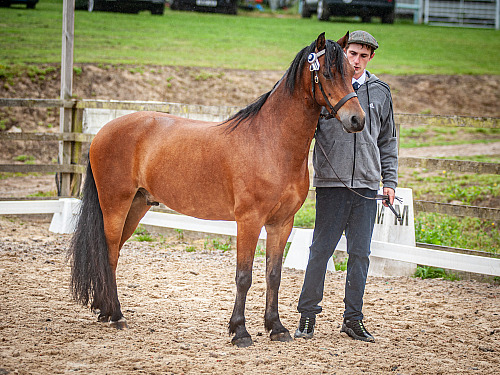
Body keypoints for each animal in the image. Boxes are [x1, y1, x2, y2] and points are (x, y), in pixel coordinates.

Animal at [68, 32, 366, 350]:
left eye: (351, 73)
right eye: (327, 74)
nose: (357, 120)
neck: (270, 141)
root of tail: (102, 132)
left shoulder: (281, 223)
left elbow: (273, 275)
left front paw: (276, 327)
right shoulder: (249, 221)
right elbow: (244, 276)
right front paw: (240, 331)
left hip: (137, 206)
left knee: (111, 254)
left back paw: (104, 310)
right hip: (115, 205)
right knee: (110, 254)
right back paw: (116, 315)